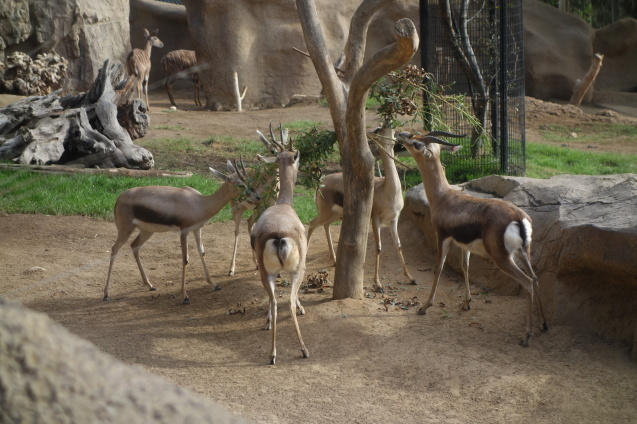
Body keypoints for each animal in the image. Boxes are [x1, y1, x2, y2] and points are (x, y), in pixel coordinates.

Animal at [104, 160, 260, 304]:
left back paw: (150, 285)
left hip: (147, 231)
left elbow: (202, 252)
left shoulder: (197, 230)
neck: (200, 203)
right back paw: (106, 294)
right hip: (125, 230)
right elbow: (185, 259)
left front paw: (214, 285)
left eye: (248, 181)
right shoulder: (184, 231)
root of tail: (119, 198)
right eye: (241, 185)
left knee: (134, 246)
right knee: (114, 249)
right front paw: (185, 296)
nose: (257, 197)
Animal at [248, 125, 308, 364]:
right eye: (296, 156)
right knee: (286, 302)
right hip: (295, 270)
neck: (283, 205)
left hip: (267, 273)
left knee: (274, 301)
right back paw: (302, 350)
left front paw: (265, 322)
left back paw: (272, 352)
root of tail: (280, 236)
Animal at [306, 126, 418, 292]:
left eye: (394, 132)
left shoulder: (393, 220)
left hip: (334, 215)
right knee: (311, 225)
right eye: (380, 130)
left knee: (325, 226)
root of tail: (322, 182)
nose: (398, 142)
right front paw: (378, 284)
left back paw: (334, 260)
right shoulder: (375, 219)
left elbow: (398, 245)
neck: (387, 189)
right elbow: (378, 247)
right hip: (325, 214)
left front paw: (411, 278)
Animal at [398, 131, 548, 346]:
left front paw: (424, 307)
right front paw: (466, 303)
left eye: (417, 143)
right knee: (535, 279)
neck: (443, 198)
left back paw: (526, 336)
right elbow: (465, 267)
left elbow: (438, 268)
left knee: (527, 282)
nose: (401, 134)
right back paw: (543, 324)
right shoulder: (465, 246)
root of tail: (518, 218)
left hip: (502, 258)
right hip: (522, 253)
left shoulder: (442, 237)